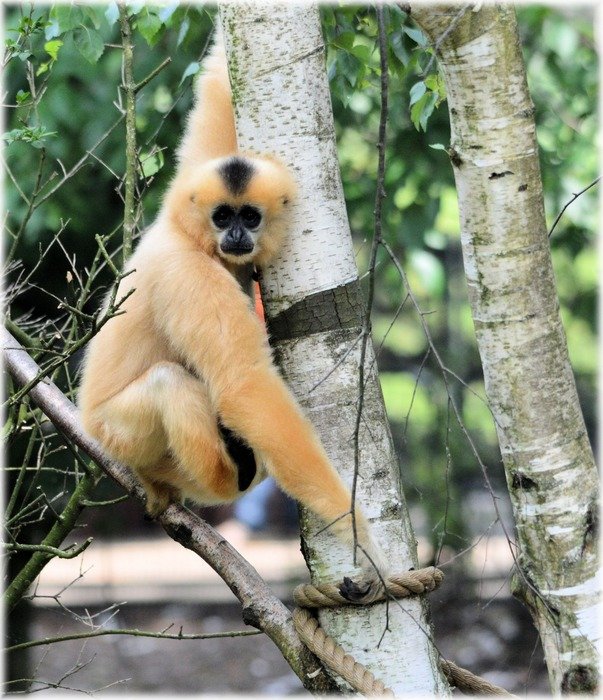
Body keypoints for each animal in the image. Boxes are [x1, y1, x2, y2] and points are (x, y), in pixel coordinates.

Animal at [78, 31, 387, 603]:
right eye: (223, 216)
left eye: (249, 216)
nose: (238, 235)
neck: (192, 238)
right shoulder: (190, 278)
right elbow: (245, 386)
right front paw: (357, 531)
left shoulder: (191, 182)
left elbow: (218, 88)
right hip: (117, 434)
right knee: (170, 383)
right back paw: (222, 479)